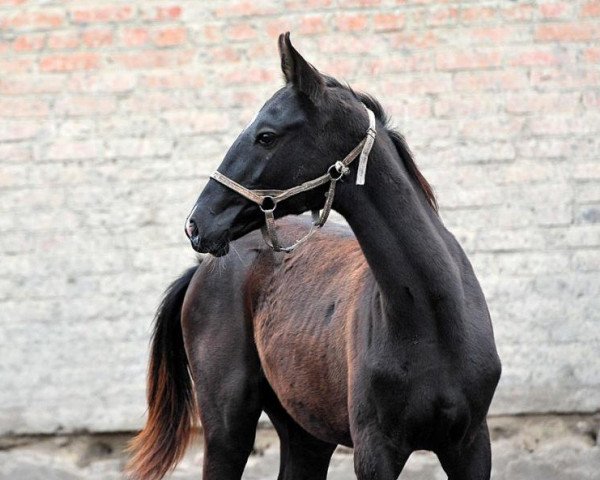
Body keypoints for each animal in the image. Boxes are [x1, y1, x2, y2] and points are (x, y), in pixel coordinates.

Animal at [127, 33, 502, 480]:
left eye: (266, 135)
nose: (197, 224)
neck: (431, 317)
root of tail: (202, 270)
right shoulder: (375, 450)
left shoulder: (471, 444)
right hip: (227, 427)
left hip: (306, 434)